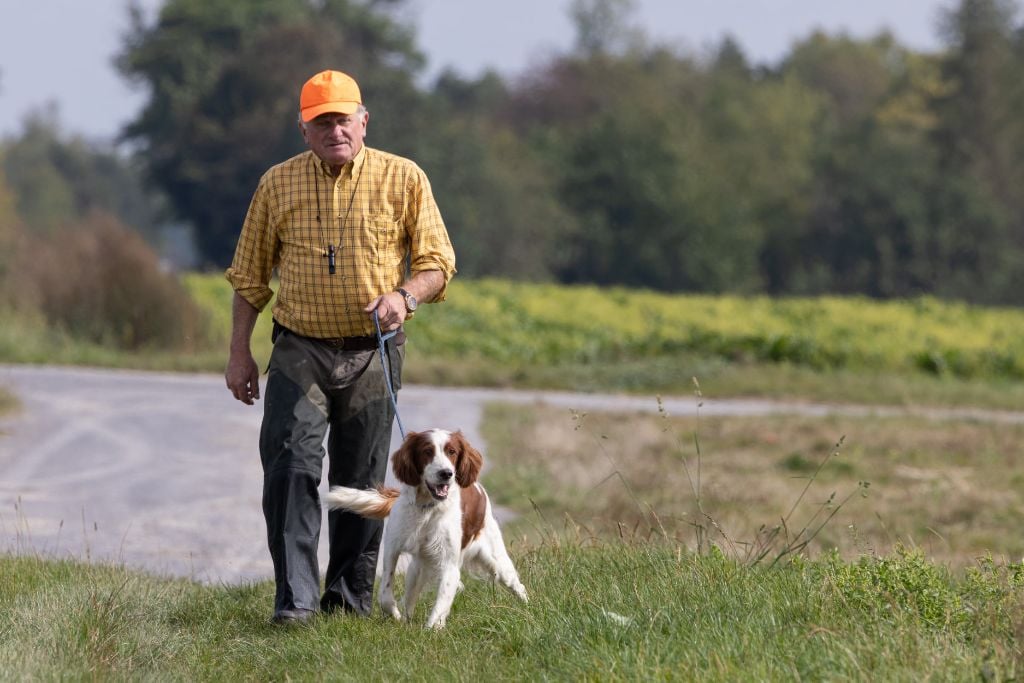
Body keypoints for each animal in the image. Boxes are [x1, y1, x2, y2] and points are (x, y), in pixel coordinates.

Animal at [323, 430, 528, 626]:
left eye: (452, 451)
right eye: (427, 451)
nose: (446, 473)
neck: (427, 508)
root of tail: (478, 487)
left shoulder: (450, 564)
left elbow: (440, 604)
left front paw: (432, 629)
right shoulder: (392, 549)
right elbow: (386, 595)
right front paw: (396, 616)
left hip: (497, 562)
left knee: (517, 584)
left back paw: (528, 606)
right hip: (417, 569)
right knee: (410, 597)